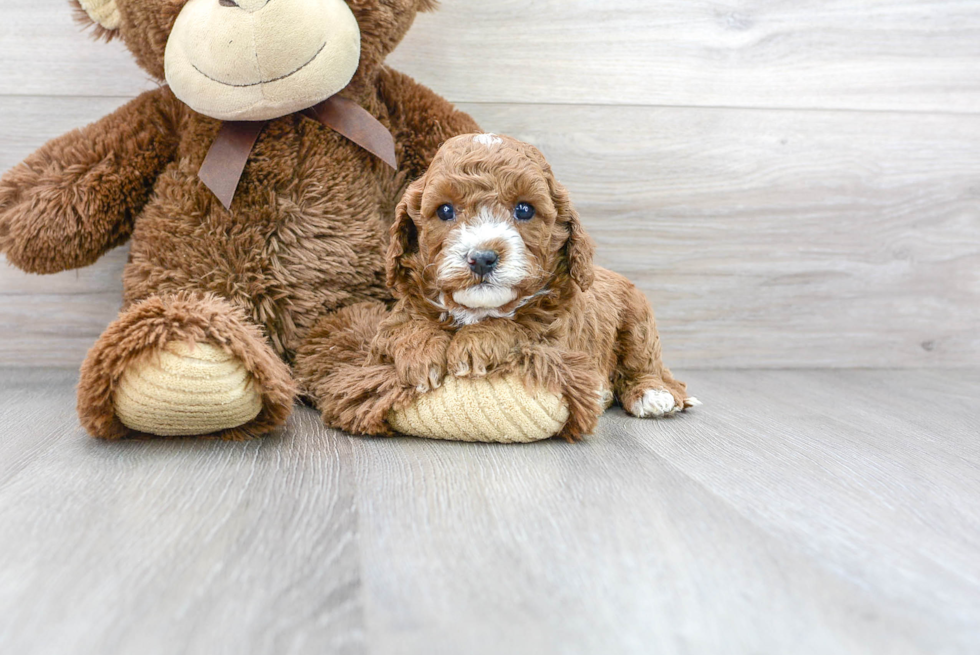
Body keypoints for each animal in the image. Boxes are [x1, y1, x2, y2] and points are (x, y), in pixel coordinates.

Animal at [298, 135, 696, 440]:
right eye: (445, 211)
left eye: (524, 209)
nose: (482, 258)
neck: (477, 310)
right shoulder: (392, 324)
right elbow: (404, 328)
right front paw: (421, 356)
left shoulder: (558, 333)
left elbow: (518, 325)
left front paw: (473, 346)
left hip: (638, 321)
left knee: (646, 364)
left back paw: (652, 395)